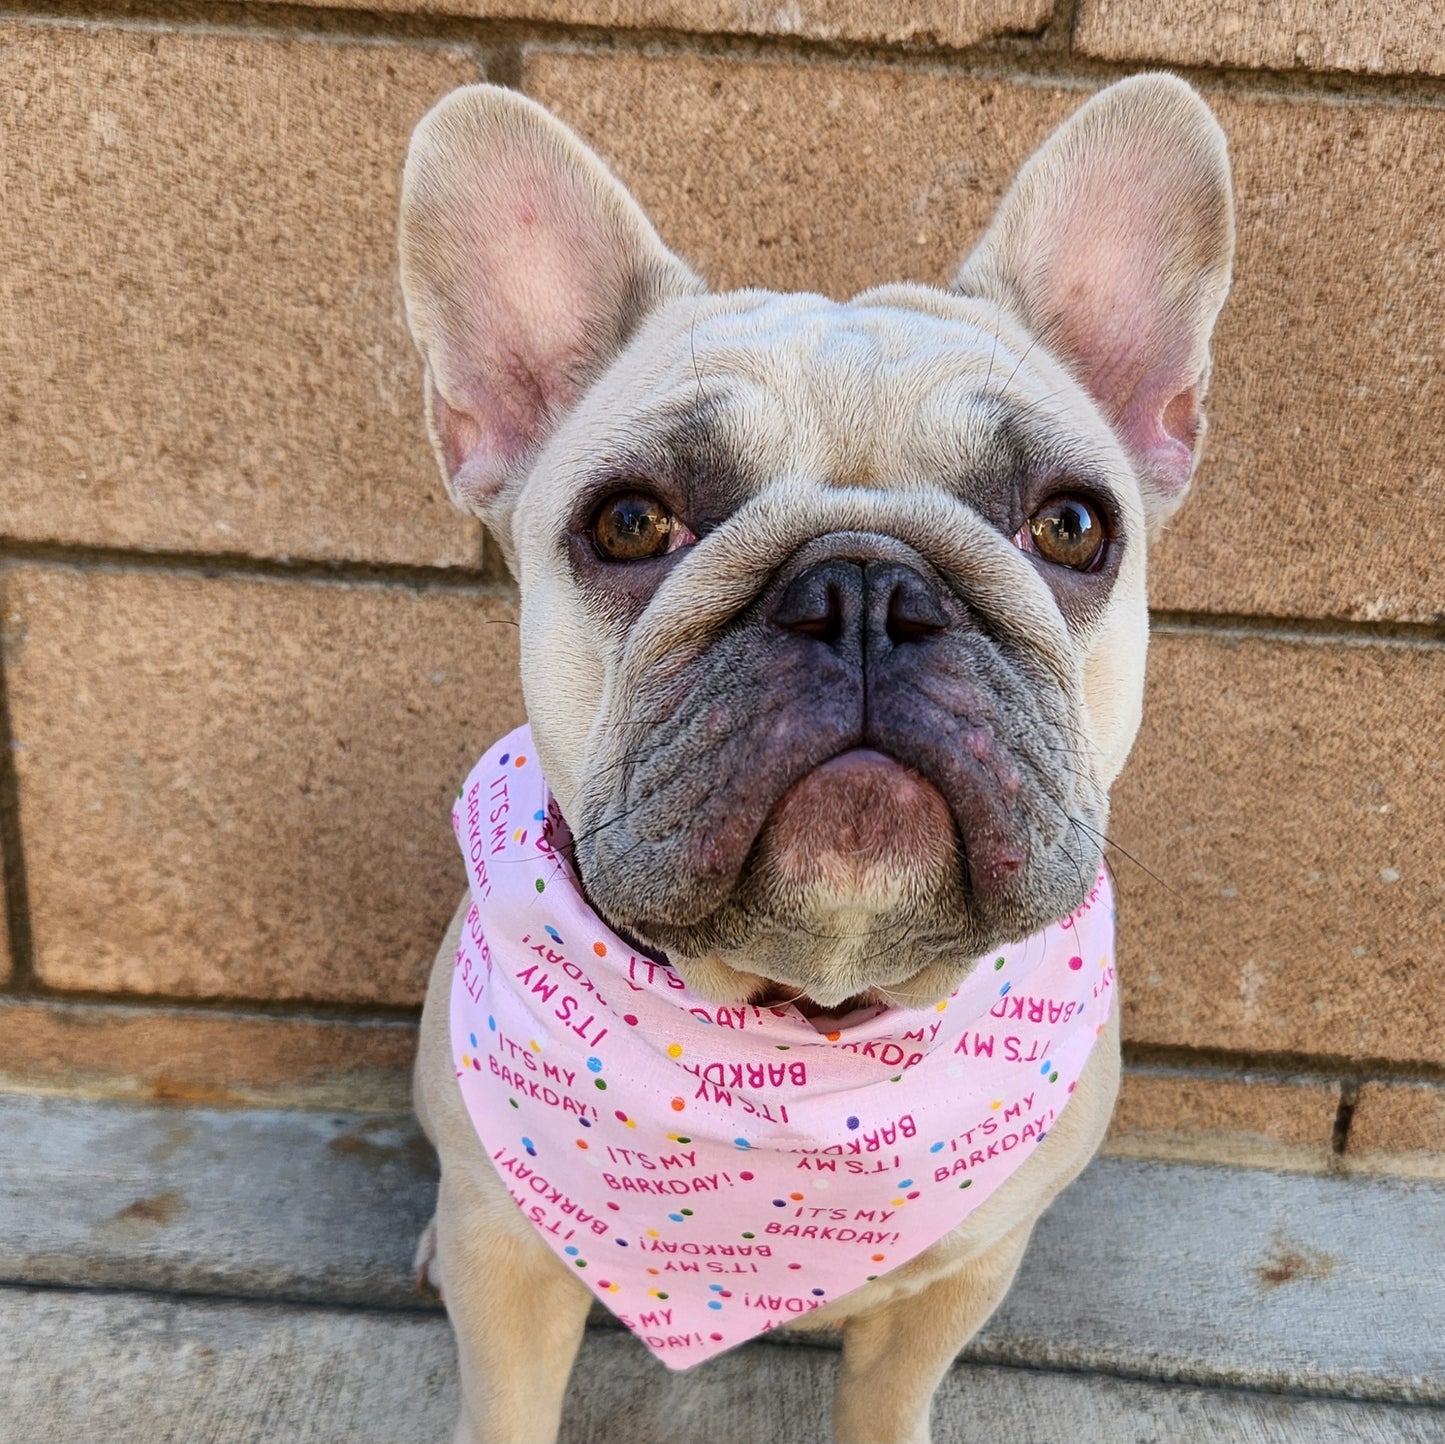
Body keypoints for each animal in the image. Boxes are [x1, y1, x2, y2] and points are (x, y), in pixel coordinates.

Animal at [395, 70, 1231, 1444]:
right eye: (630, 522)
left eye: (1070, 525)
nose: (862, 589)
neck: (810, 1026)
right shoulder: (509, 1274)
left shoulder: (960, 1277)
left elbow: (886, 1399)